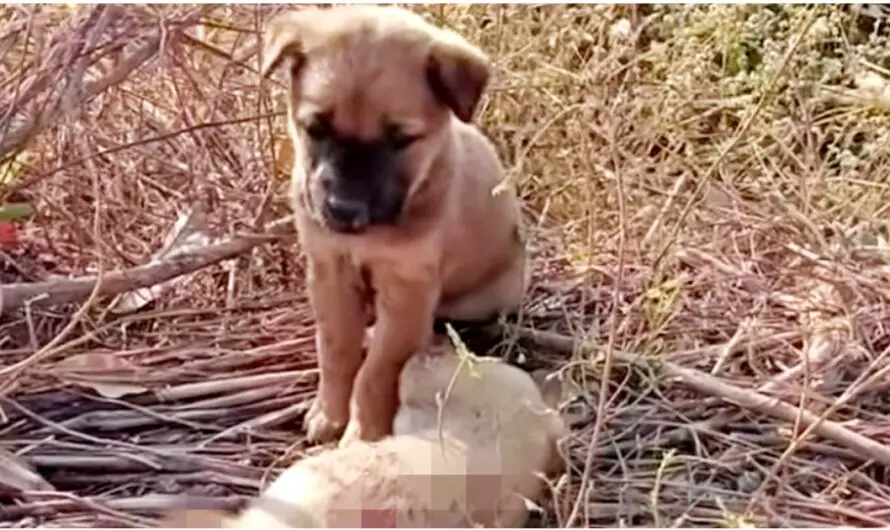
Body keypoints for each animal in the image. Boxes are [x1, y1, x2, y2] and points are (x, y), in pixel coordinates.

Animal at [262, 6, 528, 444]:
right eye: (316, 128)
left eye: (400, 138)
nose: (342, 209)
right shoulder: (330, 270)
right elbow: (335, 350)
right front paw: (329, 413)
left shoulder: (407, 290)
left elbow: (376, 371)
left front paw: (362, 434)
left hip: (484, 297)